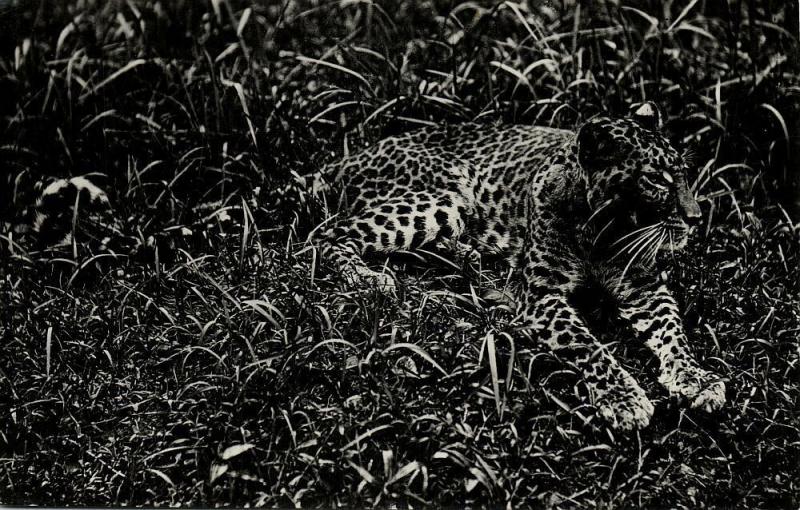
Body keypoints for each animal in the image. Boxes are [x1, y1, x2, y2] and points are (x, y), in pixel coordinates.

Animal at [310, 102, 728, 430]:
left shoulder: (643, 286)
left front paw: (696, 378)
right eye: (656, 180)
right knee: (328, 235)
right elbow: (588, 345)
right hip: (441, 198)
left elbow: (674, 332)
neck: (602, 234)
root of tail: (348, 158)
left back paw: (471, 259)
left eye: (684, 174)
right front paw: (623, 398)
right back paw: (371, 279)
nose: (696, 218)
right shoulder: (543, 295)